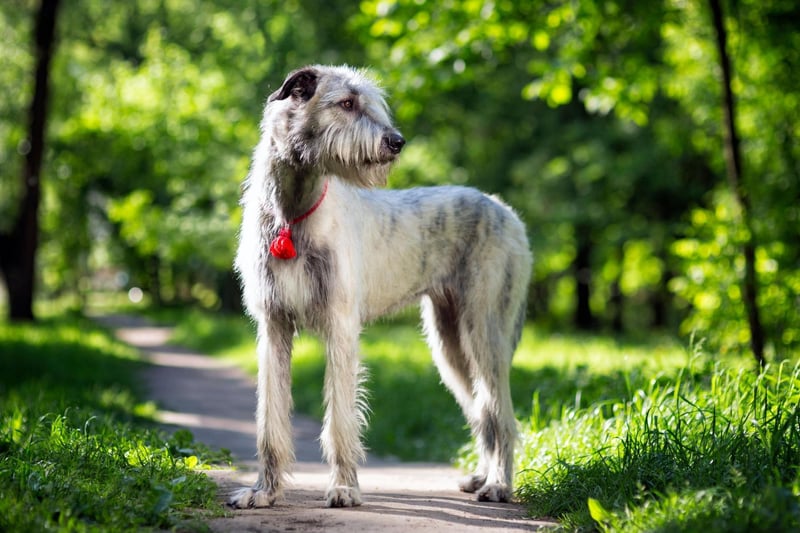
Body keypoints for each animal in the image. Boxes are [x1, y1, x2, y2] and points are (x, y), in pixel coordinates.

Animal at [230, 65, 532, 508]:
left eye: (371, 104)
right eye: (347, 103)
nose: (397, 141)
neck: (293, 213)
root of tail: (506, 210)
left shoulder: (340, 325)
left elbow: (341, 418)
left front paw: (343, 488)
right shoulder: (273, 326)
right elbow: (270, 418)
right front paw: (263, 492)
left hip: (485, 331)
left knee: (502, 414)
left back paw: (499, 484)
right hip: (449, 343)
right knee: (483, 413)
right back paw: (481, 476)